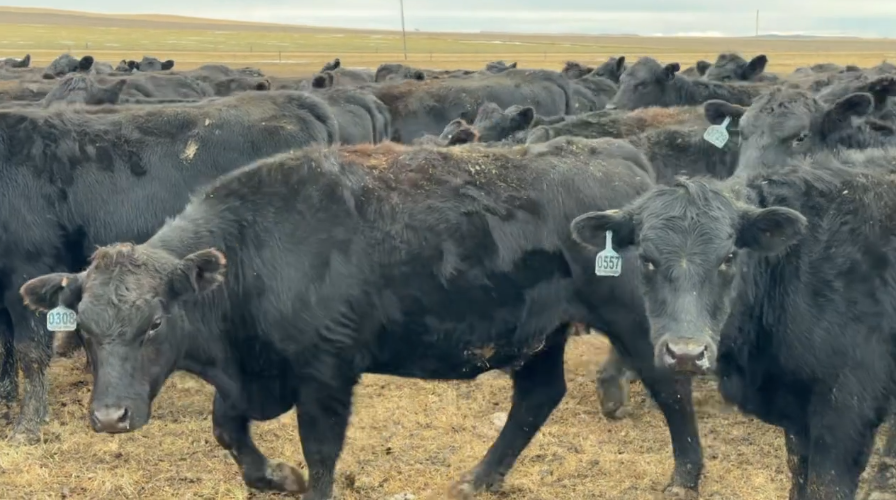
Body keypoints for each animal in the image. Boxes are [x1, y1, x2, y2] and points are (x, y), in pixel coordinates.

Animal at [0, 90, 339, 444]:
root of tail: (292, 100)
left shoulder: (26, 270)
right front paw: (6, 402)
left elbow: (29, 353)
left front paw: (27, 426)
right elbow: (5, 347)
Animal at [19, 138, 705, 500]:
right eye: (84, 328)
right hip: (541, 334)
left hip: (639, 324)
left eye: (156, 323)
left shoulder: (326, 376)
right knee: (538, 396)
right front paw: (275, 474)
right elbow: (228, 432)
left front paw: (298, 476)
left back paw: (684, 477)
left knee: (670, 385)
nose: (110, 417)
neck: (257, 250)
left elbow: (321, 454)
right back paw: (478, 478)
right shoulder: (251, 377)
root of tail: (617, 156)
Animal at [568, 159, 896, 500]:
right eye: (646, 259)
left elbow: (825, 485)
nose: (686, 354)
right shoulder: (798, 420)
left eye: (728, 257)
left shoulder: (847, 411)